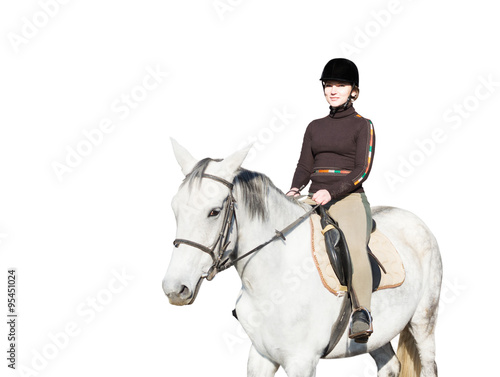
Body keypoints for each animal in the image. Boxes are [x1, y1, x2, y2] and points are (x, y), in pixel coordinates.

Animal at [163, 141, 442, 376]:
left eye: (214, 211)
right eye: (175, 209)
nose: (174, 289)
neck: (276, 280)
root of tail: (415, 220)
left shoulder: (301, 361)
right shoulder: (260, 356)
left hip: (423, 321)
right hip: (377, 334)